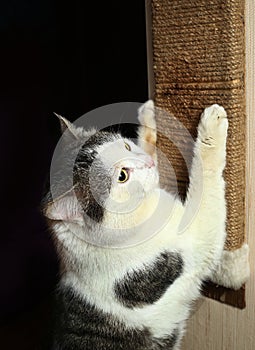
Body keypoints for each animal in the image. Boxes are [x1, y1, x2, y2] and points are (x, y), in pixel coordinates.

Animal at [42, 100, 228, 348]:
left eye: (126, 146)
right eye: (122, 176)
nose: (147, 164)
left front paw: (148, 115)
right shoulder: (197, 242)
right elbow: (205, 180)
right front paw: (212, 126)